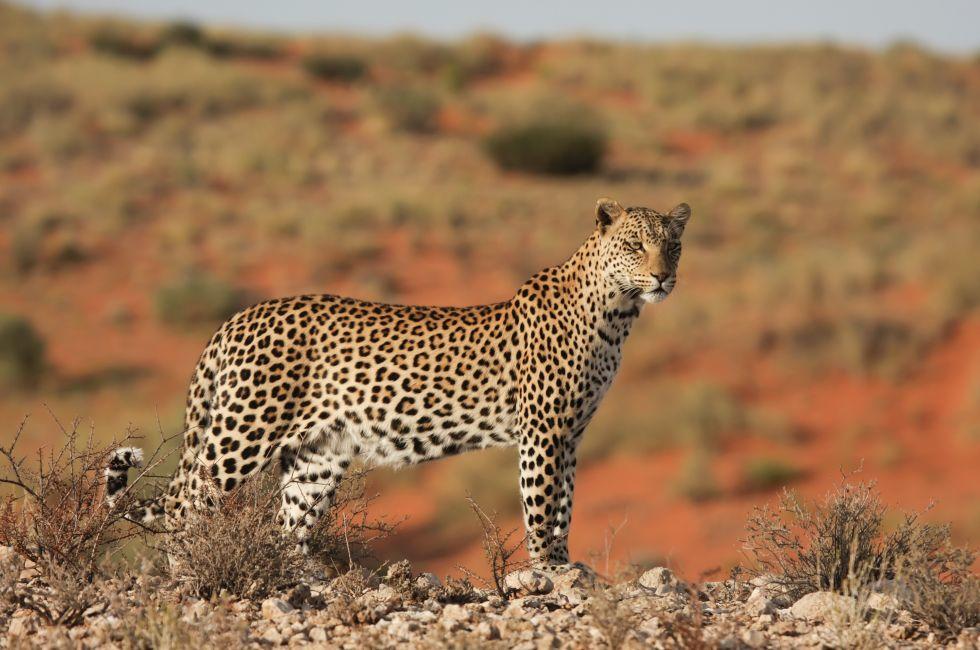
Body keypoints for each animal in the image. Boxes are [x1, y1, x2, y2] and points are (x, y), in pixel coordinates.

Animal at [105, 197, 692, 570]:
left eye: (673, 246)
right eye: (635, 245)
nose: (664, 277)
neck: (616, 311)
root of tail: (239, 316)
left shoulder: (571, 435)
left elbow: (564, 507)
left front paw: (567, 568)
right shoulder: (543, 433)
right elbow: (542, 506)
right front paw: (547, 573)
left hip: (318, 455)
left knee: (287, 525)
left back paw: (299, 581)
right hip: (242, 433)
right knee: (184, 505)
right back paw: (186, 575)